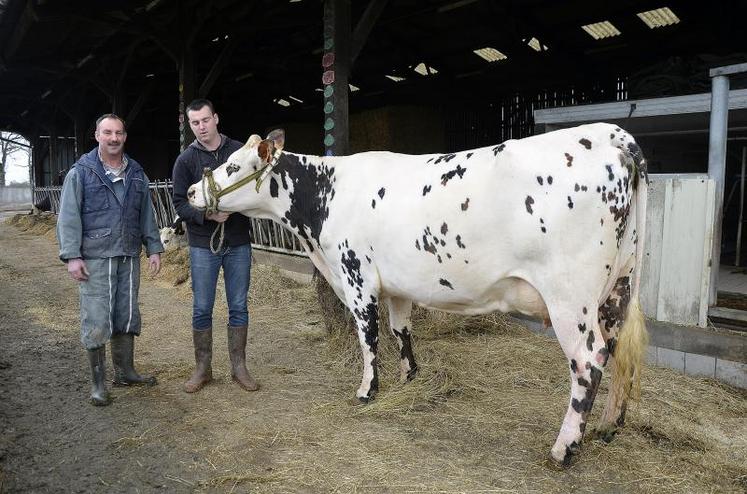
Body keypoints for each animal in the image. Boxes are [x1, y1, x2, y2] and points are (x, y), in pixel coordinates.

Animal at [187, 123, 648, 466]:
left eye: (233, 164)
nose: (191, 192)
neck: (325, 197)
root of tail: (610, 135)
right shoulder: (396, 285)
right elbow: (400, 332)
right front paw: (410, 378)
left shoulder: (356, 276)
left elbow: (369, 338)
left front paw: (367, 391)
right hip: (619, 286)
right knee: (616, 350)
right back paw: (608, 427)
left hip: (570, 295)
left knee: (588, 360)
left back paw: (564, 448)